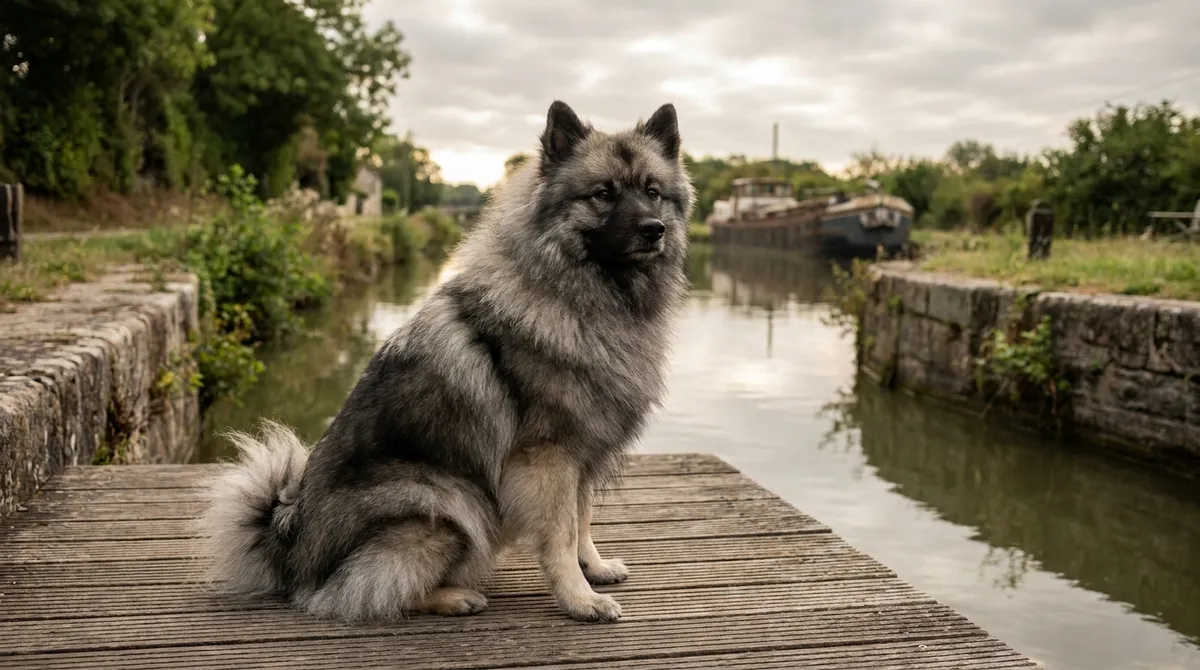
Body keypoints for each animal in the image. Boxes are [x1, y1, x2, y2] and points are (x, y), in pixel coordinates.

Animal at [197, 100, 695, 624]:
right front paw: (580, 599)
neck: (587, 296)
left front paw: (593, 568)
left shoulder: (581, 455)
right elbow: (559, 535)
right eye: (603, 194)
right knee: (358, 592)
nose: (653, 229)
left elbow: (582, 521)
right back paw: (455, 596)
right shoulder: (548, 456)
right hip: (448, 500)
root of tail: (290, 550)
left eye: (653, 192)